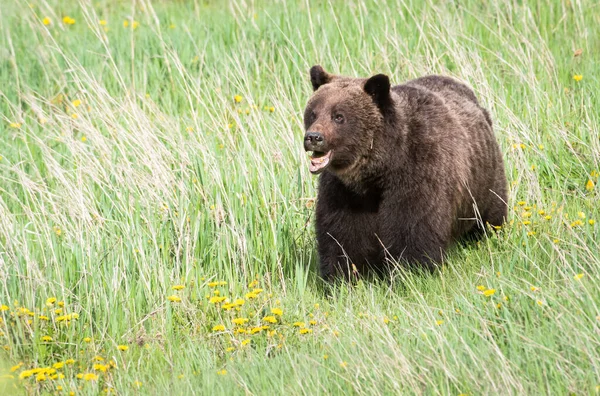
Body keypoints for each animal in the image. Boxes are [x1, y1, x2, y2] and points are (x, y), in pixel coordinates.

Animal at [304, 65, 506, 282]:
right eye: (313, 113)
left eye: (339, 116)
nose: (313, 137)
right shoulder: (345, 193)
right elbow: (341, 236)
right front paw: (340, 278)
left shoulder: (418, 175)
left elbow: (413, 230)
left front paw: (411, 272)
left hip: (483, 182)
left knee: (491, 212)